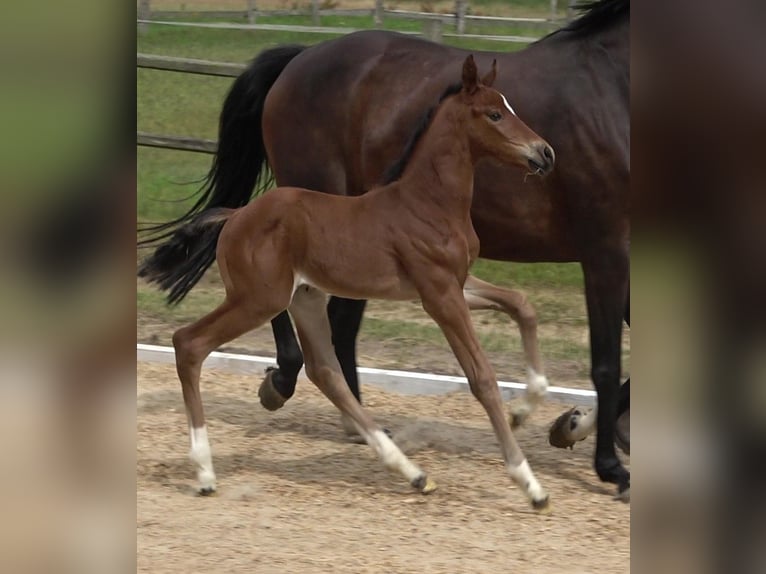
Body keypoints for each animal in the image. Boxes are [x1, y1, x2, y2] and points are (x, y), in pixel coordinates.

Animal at [141, 0, 632, 502]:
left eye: (511, 108)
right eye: (494, 114)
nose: (545, 153)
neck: (425, 199)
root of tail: (236, 216)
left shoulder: (455, 283)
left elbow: (522, 306)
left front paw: (536, 411)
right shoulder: (448, 293)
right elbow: (487, 377)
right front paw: (540, 479)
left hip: (304, 296)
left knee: (326, 368)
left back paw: (407, 467)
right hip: (261, 296)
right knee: (191, 344)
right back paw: (208, 468)